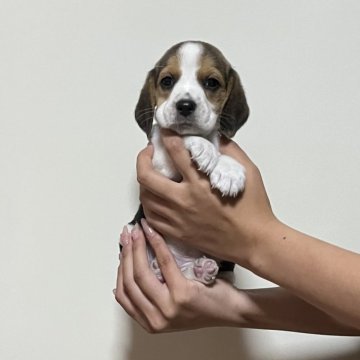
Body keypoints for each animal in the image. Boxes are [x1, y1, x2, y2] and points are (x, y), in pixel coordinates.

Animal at [128, 41, 249, 284]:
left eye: (211, 82)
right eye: (167, 81)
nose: (185, 105)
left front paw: (229, 171)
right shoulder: (159, 158)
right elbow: (177, 133)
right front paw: (204, 148)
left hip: (224, 267)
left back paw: (200, 269)